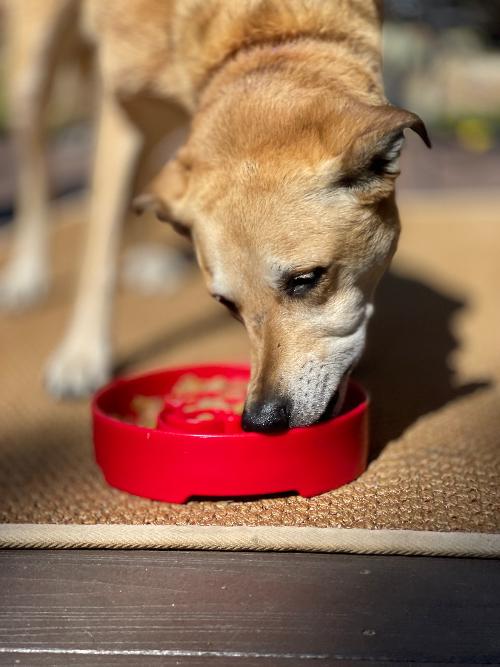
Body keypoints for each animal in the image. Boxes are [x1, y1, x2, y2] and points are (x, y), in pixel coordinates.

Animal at [0, 0, 430, 434]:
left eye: (306, 279)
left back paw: (144, 256)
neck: (262, 37)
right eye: (225, 303)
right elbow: (98, 250)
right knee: (35, 162)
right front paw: (82, 357)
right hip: (33, 68)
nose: (261, 420)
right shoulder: (121, 107)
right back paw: (28, 274)